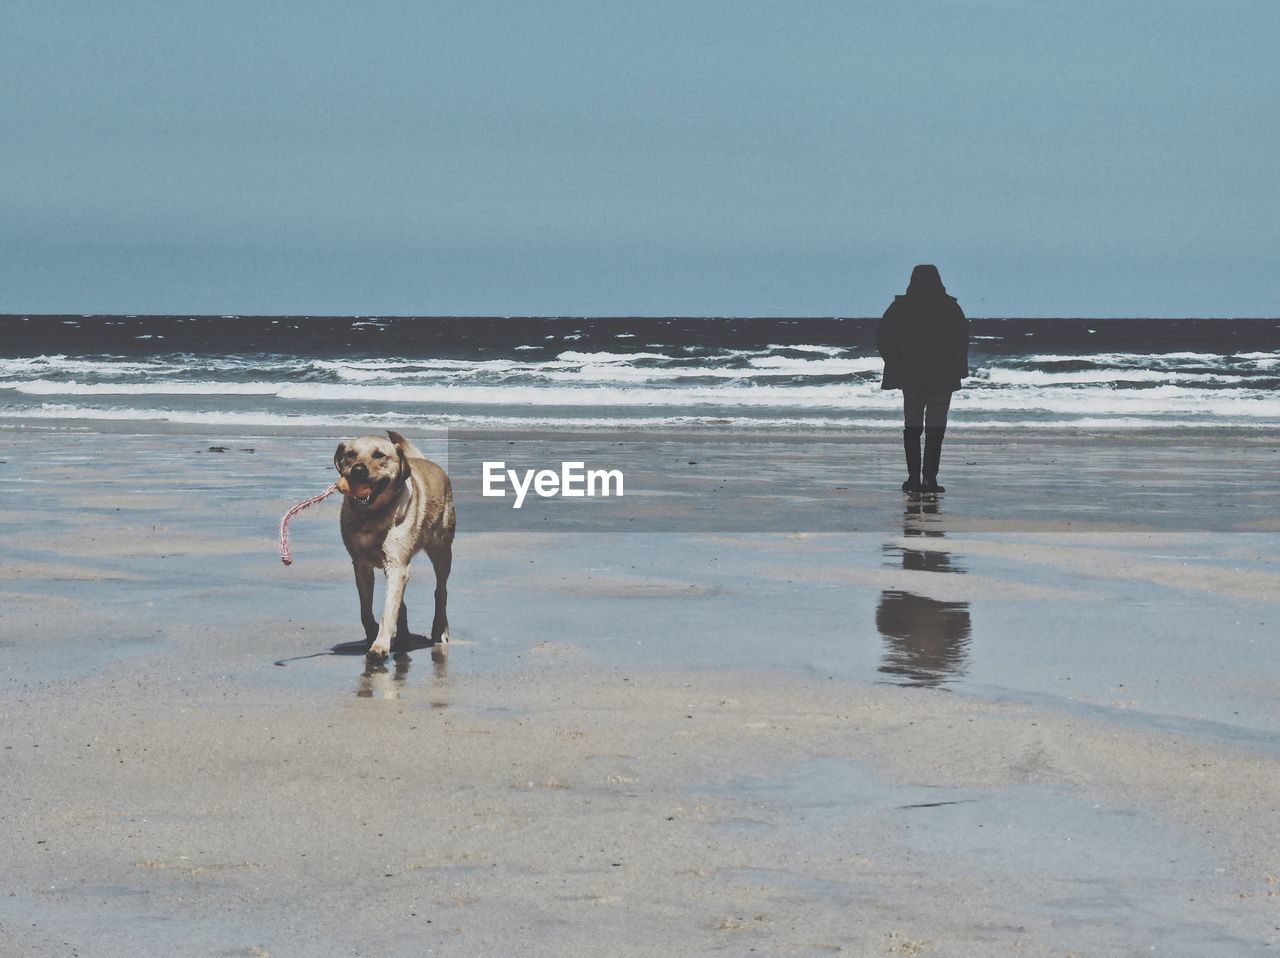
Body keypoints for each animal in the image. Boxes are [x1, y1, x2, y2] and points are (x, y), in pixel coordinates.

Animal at [335, 432, 455, 660]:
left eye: (379, 455)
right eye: (351, 454)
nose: (358, 469)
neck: (372, 517)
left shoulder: (397, 564)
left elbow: (389, 609)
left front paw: (380, 646)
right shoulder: (360, 565)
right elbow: (366, 608)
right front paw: (373, 633)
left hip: (442, 550)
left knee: (441, 591)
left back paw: (439, 629)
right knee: (402, 602)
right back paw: (403, 637)